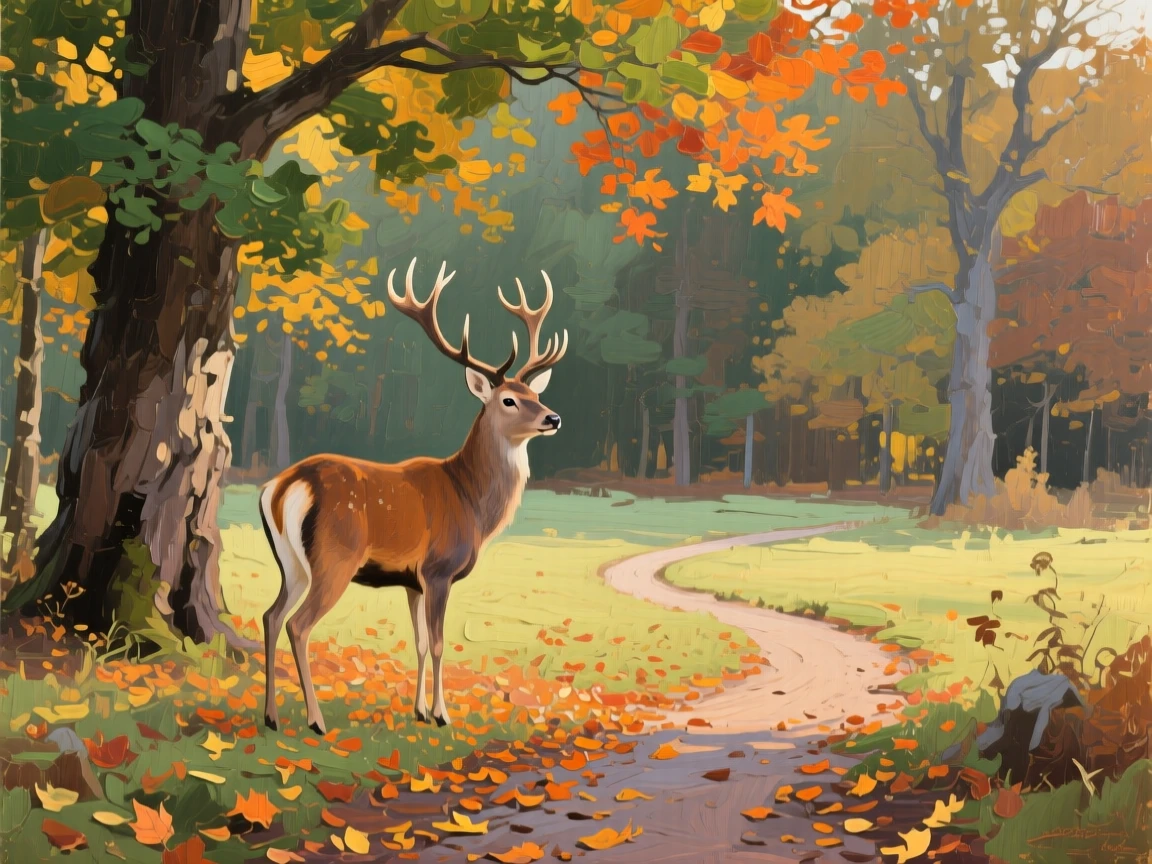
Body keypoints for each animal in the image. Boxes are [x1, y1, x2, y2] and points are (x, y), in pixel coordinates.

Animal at [258, 258, 567, 734]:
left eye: (536, 393)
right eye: (509, 400)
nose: (553, 418)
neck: (472, 504)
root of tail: (282, 486)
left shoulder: (412, 579)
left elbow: (419, 642)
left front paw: (418, 710)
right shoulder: (439, 568)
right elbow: (439, 643)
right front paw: (441, 714)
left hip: (291, 562)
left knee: (271, 616)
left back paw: (271, 716)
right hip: (335, 556)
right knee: (299, 625)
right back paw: (315, 719)